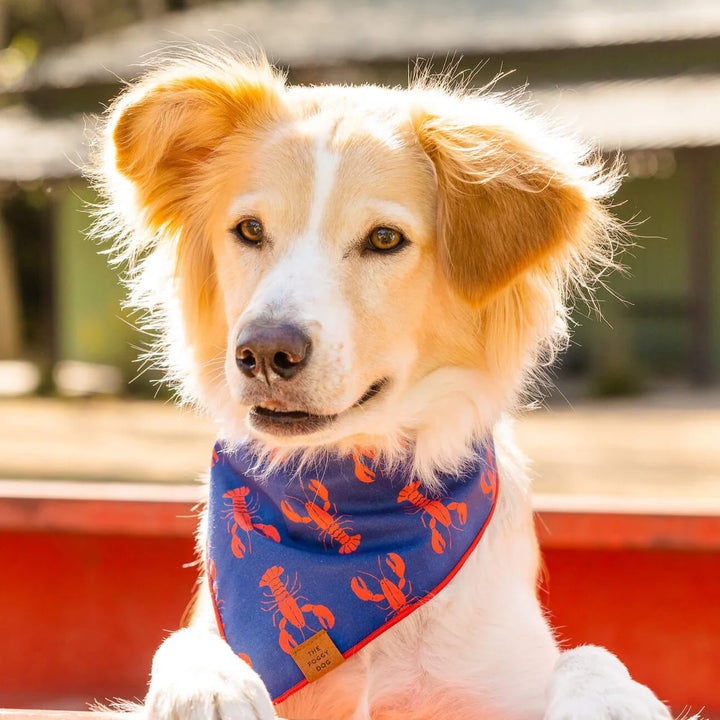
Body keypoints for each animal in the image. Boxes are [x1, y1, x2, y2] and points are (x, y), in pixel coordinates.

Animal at [94, 52, 680, 720]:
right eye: (249, 230)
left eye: (384, 239)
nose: (264, 351)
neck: (355, 489)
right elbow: (183, 642)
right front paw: (210, 688)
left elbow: (589, 655)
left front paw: (616, 701)